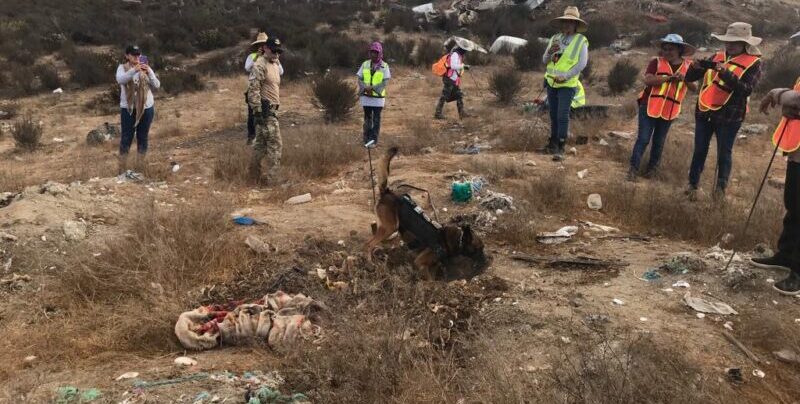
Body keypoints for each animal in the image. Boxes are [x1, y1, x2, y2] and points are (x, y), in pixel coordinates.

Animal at [364, 147, 488, 280]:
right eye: (479, 249)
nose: (487, 262)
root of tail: (387, 192)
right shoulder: (420, 262)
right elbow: (429, 280)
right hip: (390, 227)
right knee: (368, 244)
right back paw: (370, 264)